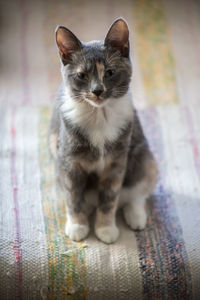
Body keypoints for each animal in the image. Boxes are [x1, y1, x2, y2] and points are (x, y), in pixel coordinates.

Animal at [48, 18, 158, 244]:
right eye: (81, 75)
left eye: (110, 72)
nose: (97, 90)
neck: (99, 115)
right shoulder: (69, 162)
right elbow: (73, 196)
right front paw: (78, 226)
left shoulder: (116, 163)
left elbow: (109, 198)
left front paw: (106, 229)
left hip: (144, 157)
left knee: (136, 193)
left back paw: (136, 216)